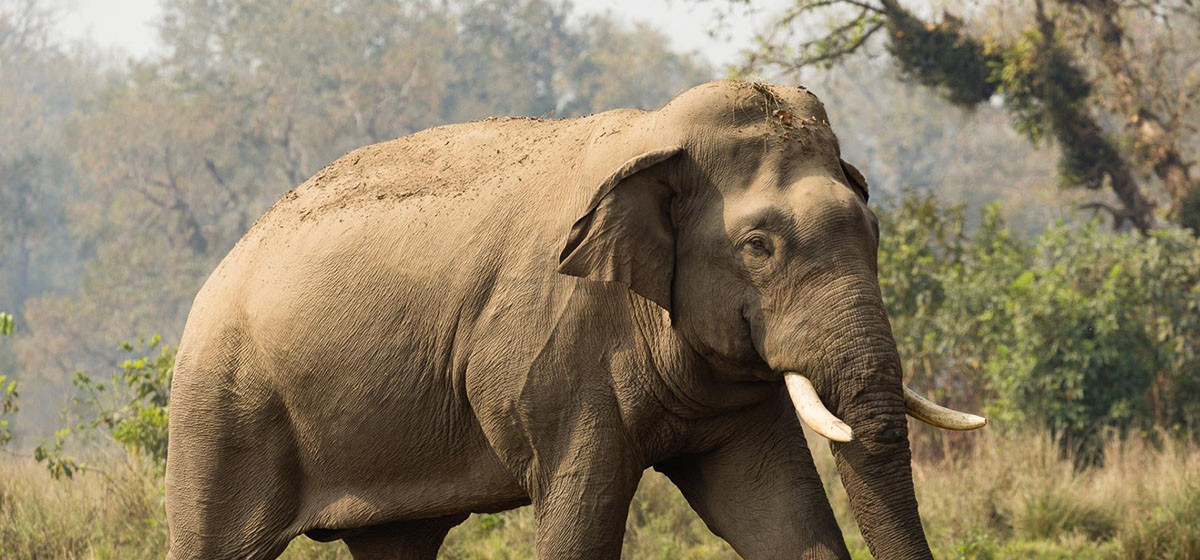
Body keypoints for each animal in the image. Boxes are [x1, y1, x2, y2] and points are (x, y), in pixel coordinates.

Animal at [166, 79, 984, 560]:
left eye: (874, 232)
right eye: (761, 247)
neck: (657, 135)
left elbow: (780, 517)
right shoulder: (554, 359)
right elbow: (581, 513)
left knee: (398, 541)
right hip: (223, 412)